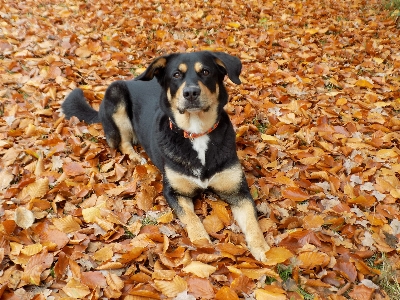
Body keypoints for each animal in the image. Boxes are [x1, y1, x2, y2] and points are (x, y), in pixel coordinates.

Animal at [61, 50, 268, 262]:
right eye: (176, 75)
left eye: (206, 72)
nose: (191, 93)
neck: (196, 133)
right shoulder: (174, 192)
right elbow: (191, 218)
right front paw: (202, 243)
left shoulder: (237, 191)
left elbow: (252, 222)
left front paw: (264, 250)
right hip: (116, 96)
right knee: (123, 143)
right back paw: (135, 157)